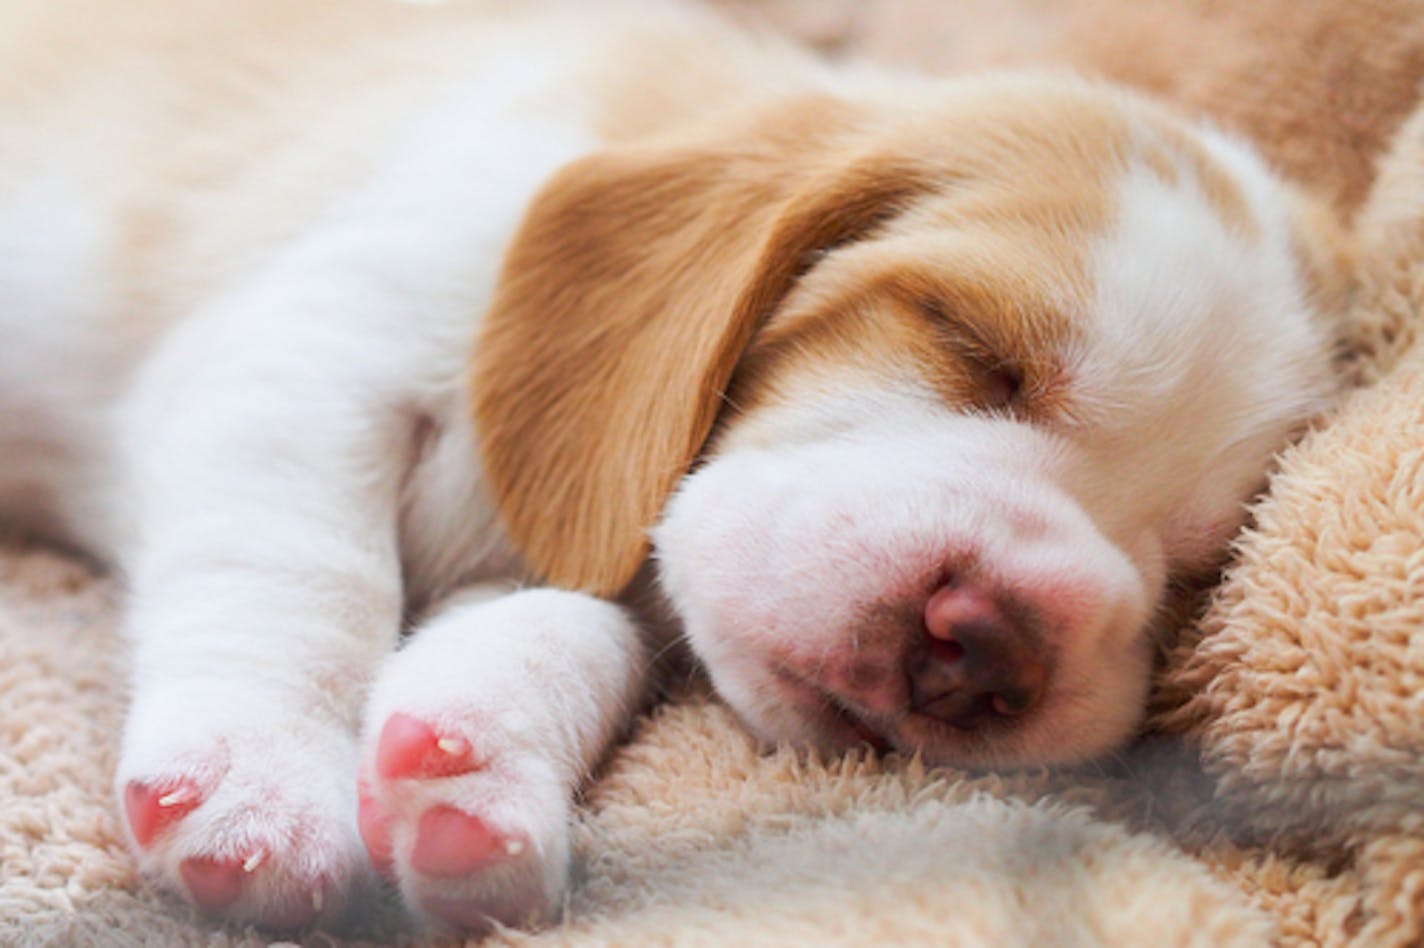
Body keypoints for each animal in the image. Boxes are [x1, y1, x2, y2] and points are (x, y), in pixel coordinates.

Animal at [0, 0, 1344, 928]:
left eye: (1185, 571)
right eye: (969, 345)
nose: (991, 642)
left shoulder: (589, 572)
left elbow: (569, 626)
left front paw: (477, 771)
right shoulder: (306, 352)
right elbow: (303, 575)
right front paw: (262, 783)